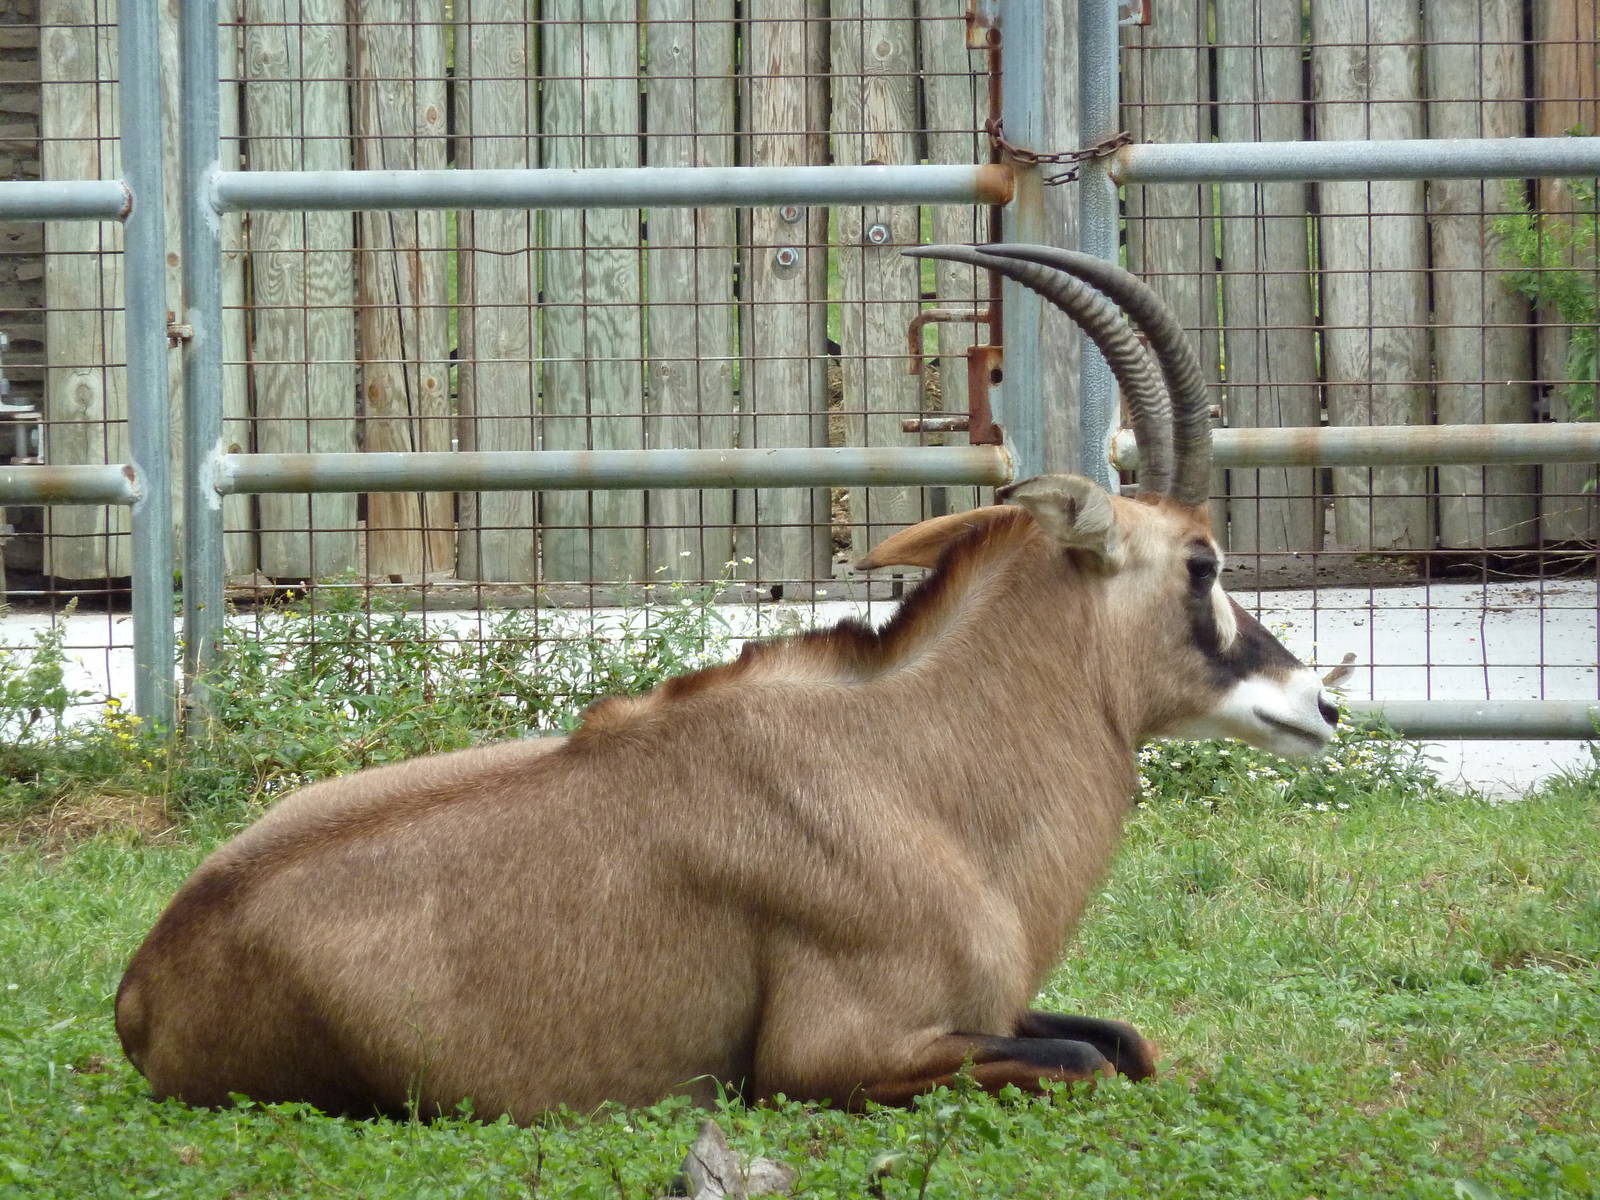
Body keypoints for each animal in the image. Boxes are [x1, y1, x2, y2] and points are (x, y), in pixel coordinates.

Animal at [116, 244, 1337, 1123]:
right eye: (1202, 564)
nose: (1319, 702)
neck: (912, 772)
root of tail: (144, 980)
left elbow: (1126, 1041)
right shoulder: (831, 1056)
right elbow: (1087, 1059)